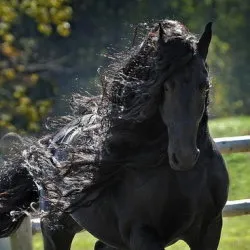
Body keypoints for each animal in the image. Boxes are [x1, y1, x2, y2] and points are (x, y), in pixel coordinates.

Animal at [0, 20, 229, 250]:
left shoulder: (208, 230)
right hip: (56, 230)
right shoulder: (143, 234)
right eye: (165, 86)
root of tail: (51, 143)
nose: (184, 156)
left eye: (204, 86)